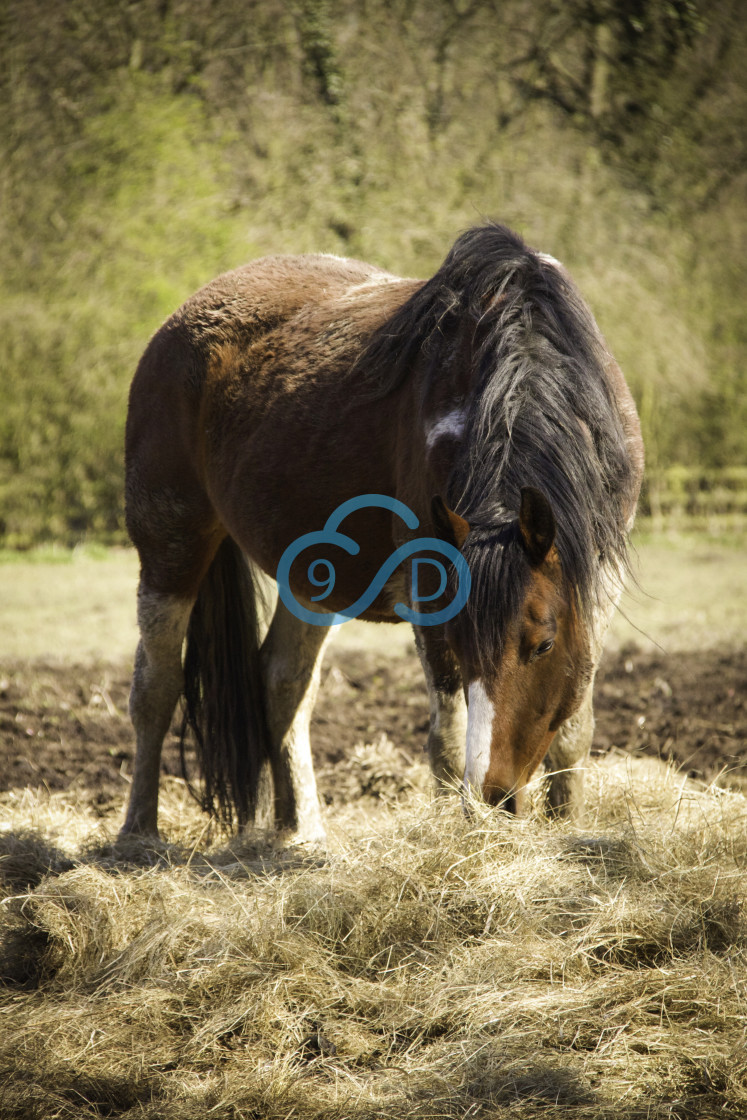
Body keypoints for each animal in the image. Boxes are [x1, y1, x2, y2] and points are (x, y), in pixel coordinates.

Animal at [121, 225, 645, 842]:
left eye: (542, 644)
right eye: (464, 645)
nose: (496, 797)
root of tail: (177, 324)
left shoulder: (596, 581)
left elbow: (573, 728)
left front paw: (567, 829)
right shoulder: (433, 588)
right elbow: (449, 739)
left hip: (310, 576)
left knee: (281, 683)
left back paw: (300, 830)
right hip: (169, 546)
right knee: (156, 686)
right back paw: (138, 833)